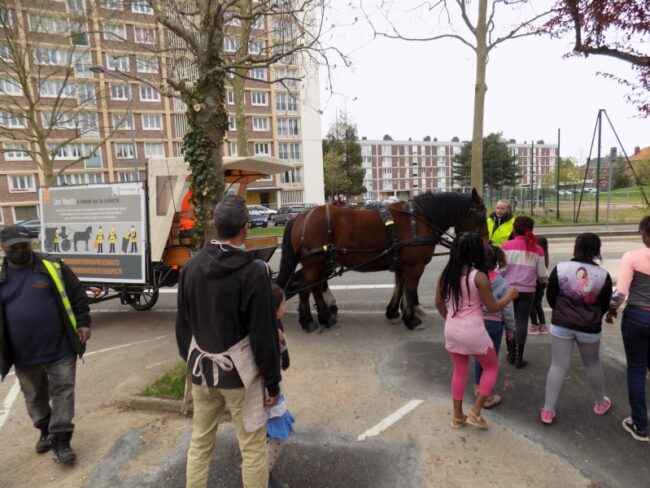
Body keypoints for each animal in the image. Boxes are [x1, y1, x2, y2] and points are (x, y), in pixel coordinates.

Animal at [276, 189, 488, 331]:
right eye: (481, 216)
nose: (487, 247)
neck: (419, 220)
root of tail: (301, 216)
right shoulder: (415, 267)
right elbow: (410, 290)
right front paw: (411, 319)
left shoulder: (403, 266)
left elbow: (400, 288)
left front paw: (393, 312)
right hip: (314, 263)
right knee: (306, 288)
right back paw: (308, 321)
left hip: (321, 263)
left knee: (316, 288)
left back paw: (325, 317)